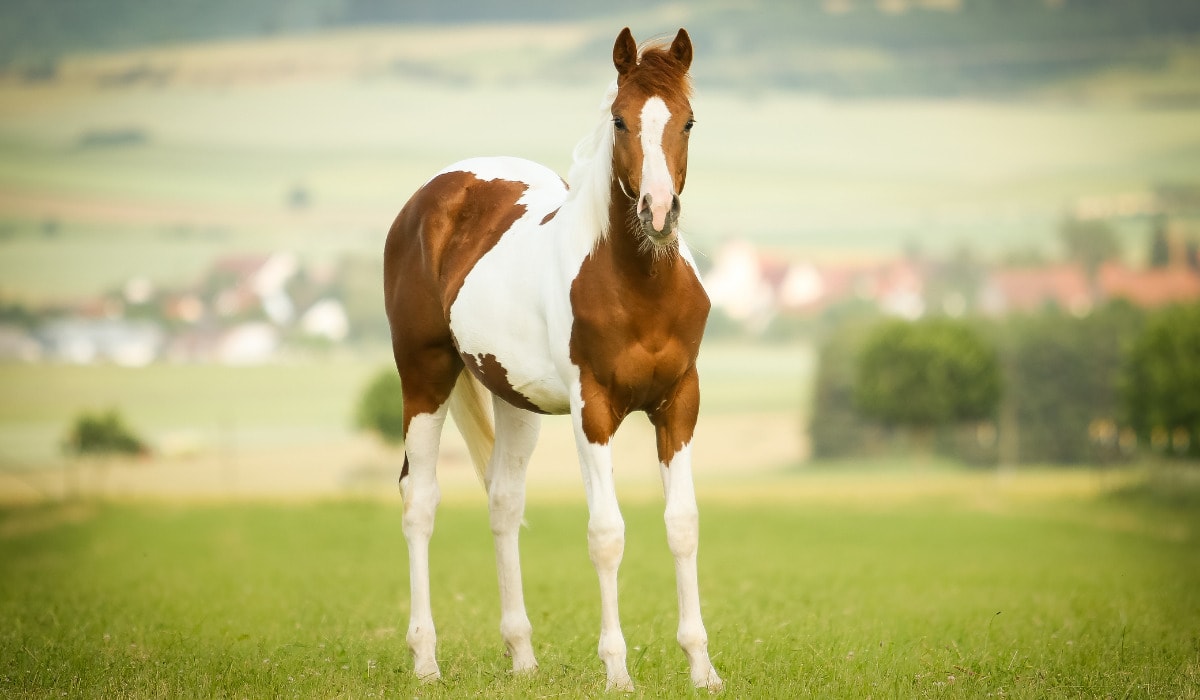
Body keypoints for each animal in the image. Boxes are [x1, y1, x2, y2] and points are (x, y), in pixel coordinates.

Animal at [383, 27, 722, 692]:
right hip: (425, 376)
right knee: (420, 500)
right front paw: (617, 671)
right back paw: (426, 660)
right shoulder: (593, 409)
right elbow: (606, 534)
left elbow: (684, 525)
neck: (639, 284)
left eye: (689, 121)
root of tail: (437, 193)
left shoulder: (679, 403)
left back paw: (522, 657)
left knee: (503, 501)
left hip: (515, 400)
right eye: (619, 120)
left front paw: (702, 667)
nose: (658, 212)